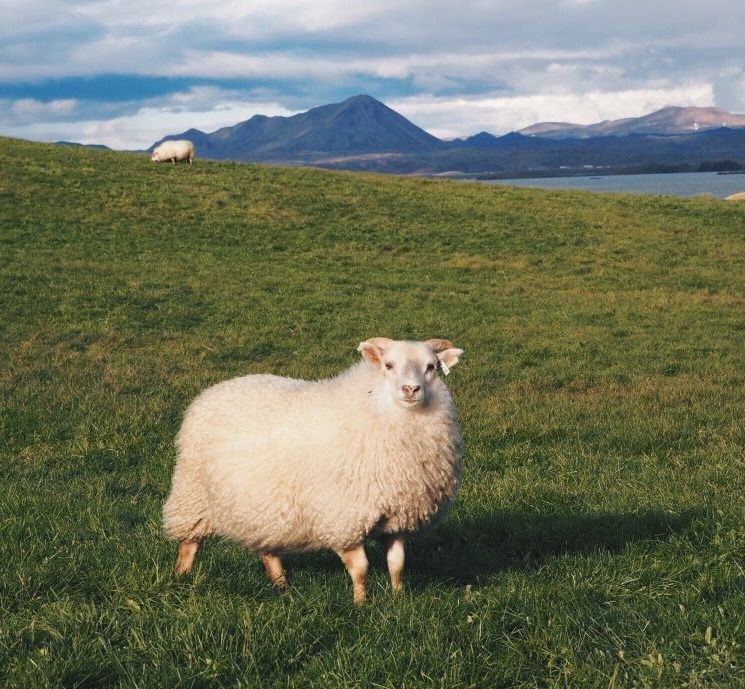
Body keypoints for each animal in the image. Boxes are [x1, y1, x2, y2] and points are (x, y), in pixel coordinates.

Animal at [163, 338, 462, 600]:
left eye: (431, 367)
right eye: (388, 365)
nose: (411, 389)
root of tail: (213, 390)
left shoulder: (399, 518)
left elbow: (397, 564)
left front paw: (399, 599)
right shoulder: (344, 518)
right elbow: (360, 569)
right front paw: (361, 604)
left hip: (263, 504)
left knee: (267, 546)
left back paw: (282, 586)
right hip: (193, 492)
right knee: (189, 542)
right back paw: (181, 577)